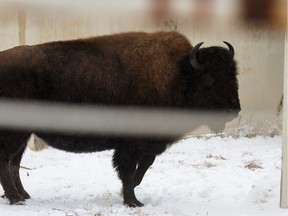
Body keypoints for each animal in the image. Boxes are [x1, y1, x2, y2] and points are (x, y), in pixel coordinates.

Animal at [0, 31, 240, 207]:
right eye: (209, 78)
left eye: (233, 75)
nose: (234, 109)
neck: (177, 75)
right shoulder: (130, 145)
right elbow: (127, 170)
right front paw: (133, 202)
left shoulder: (148, 144)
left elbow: (142, 167)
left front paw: (130, 193)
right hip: (15, 134)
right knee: (6, 160)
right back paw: (16, 199)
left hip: (23, 135)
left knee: (14, 162)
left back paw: (23, 195)